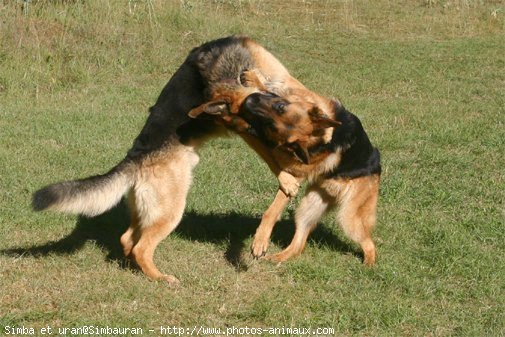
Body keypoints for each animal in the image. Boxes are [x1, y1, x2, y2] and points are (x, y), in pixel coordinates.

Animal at [191, 69, 380, 266]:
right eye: (279, 109)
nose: (249, 101)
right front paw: (254, 79)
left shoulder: (293, 171)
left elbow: (272, 210)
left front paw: (259, 241)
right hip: (307, 209)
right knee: (298, 244)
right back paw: (278, 257)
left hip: (348, 219)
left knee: (368, 243)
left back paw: (368, 265)